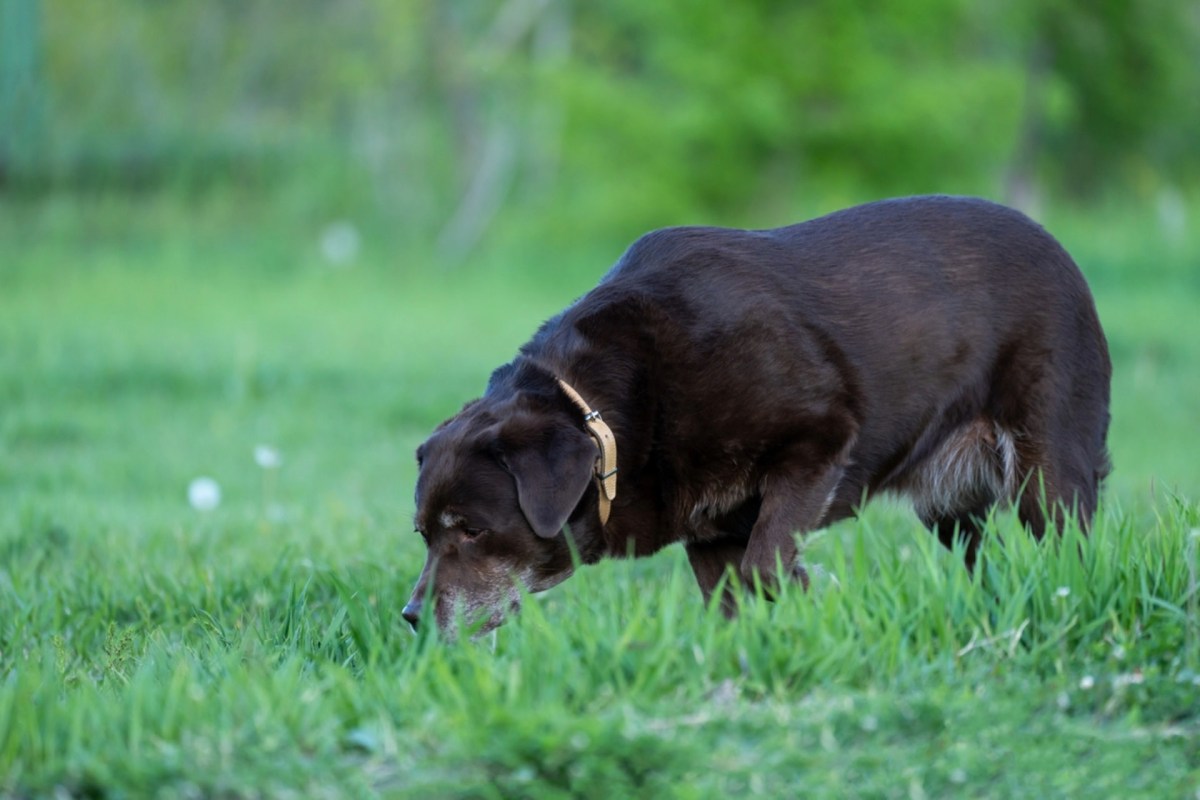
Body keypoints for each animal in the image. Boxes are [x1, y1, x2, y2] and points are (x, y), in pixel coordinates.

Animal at [400, 196, 1104, 633]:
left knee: (1070, 558)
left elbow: (769, 566)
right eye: (424, 533)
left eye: (471, 529)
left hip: (1047, 476)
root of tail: (1063, 252)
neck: (607, 422)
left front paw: (811, 605)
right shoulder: (710, 534)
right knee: (985, 563)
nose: (410, 618)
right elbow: (732, 606)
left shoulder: (820, 442)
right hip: (950, 507)